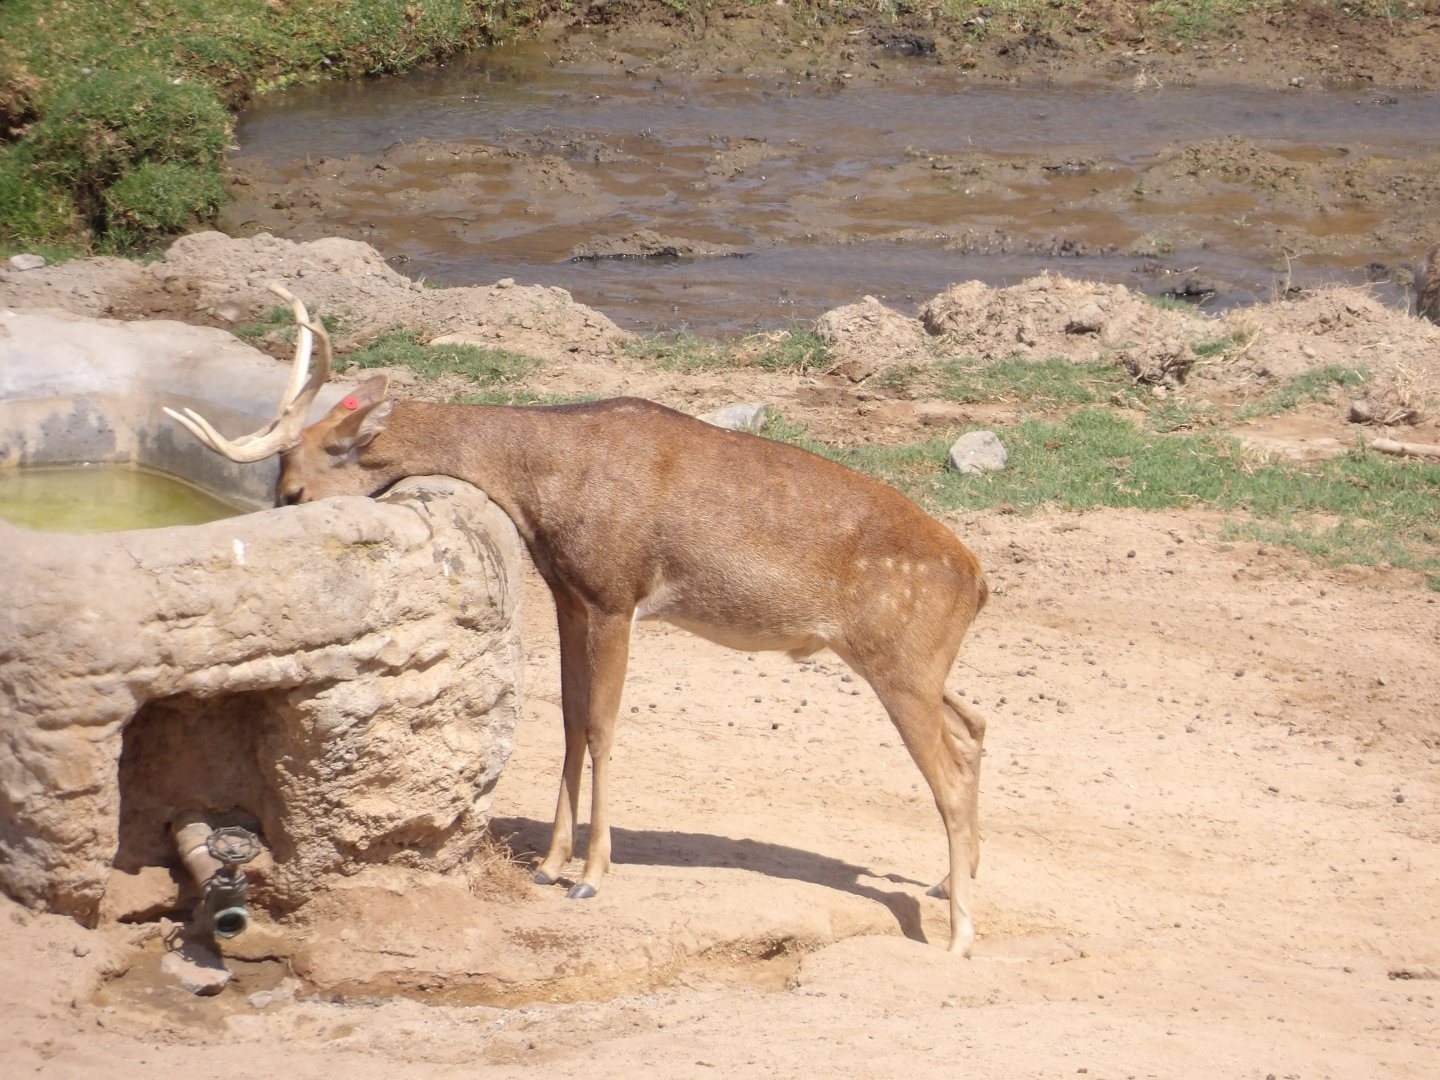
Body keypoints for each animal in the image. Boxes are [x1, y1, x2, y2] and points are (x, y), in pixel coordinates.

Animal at [166, 282, 991, 954]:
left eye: (294, 489)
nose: (276, 521)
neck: (543, 489)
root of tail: (978, 579)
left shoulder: (615, 592)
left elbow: (601, 724)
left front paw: (593, 871)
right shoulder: (568, 593)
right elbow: (565, 716)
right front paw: (553, 862)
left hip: (899, 658)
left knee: (950, 772)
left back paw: (958, 934)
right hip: (915, 663)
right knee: (975, 724)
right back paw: (949, 883)